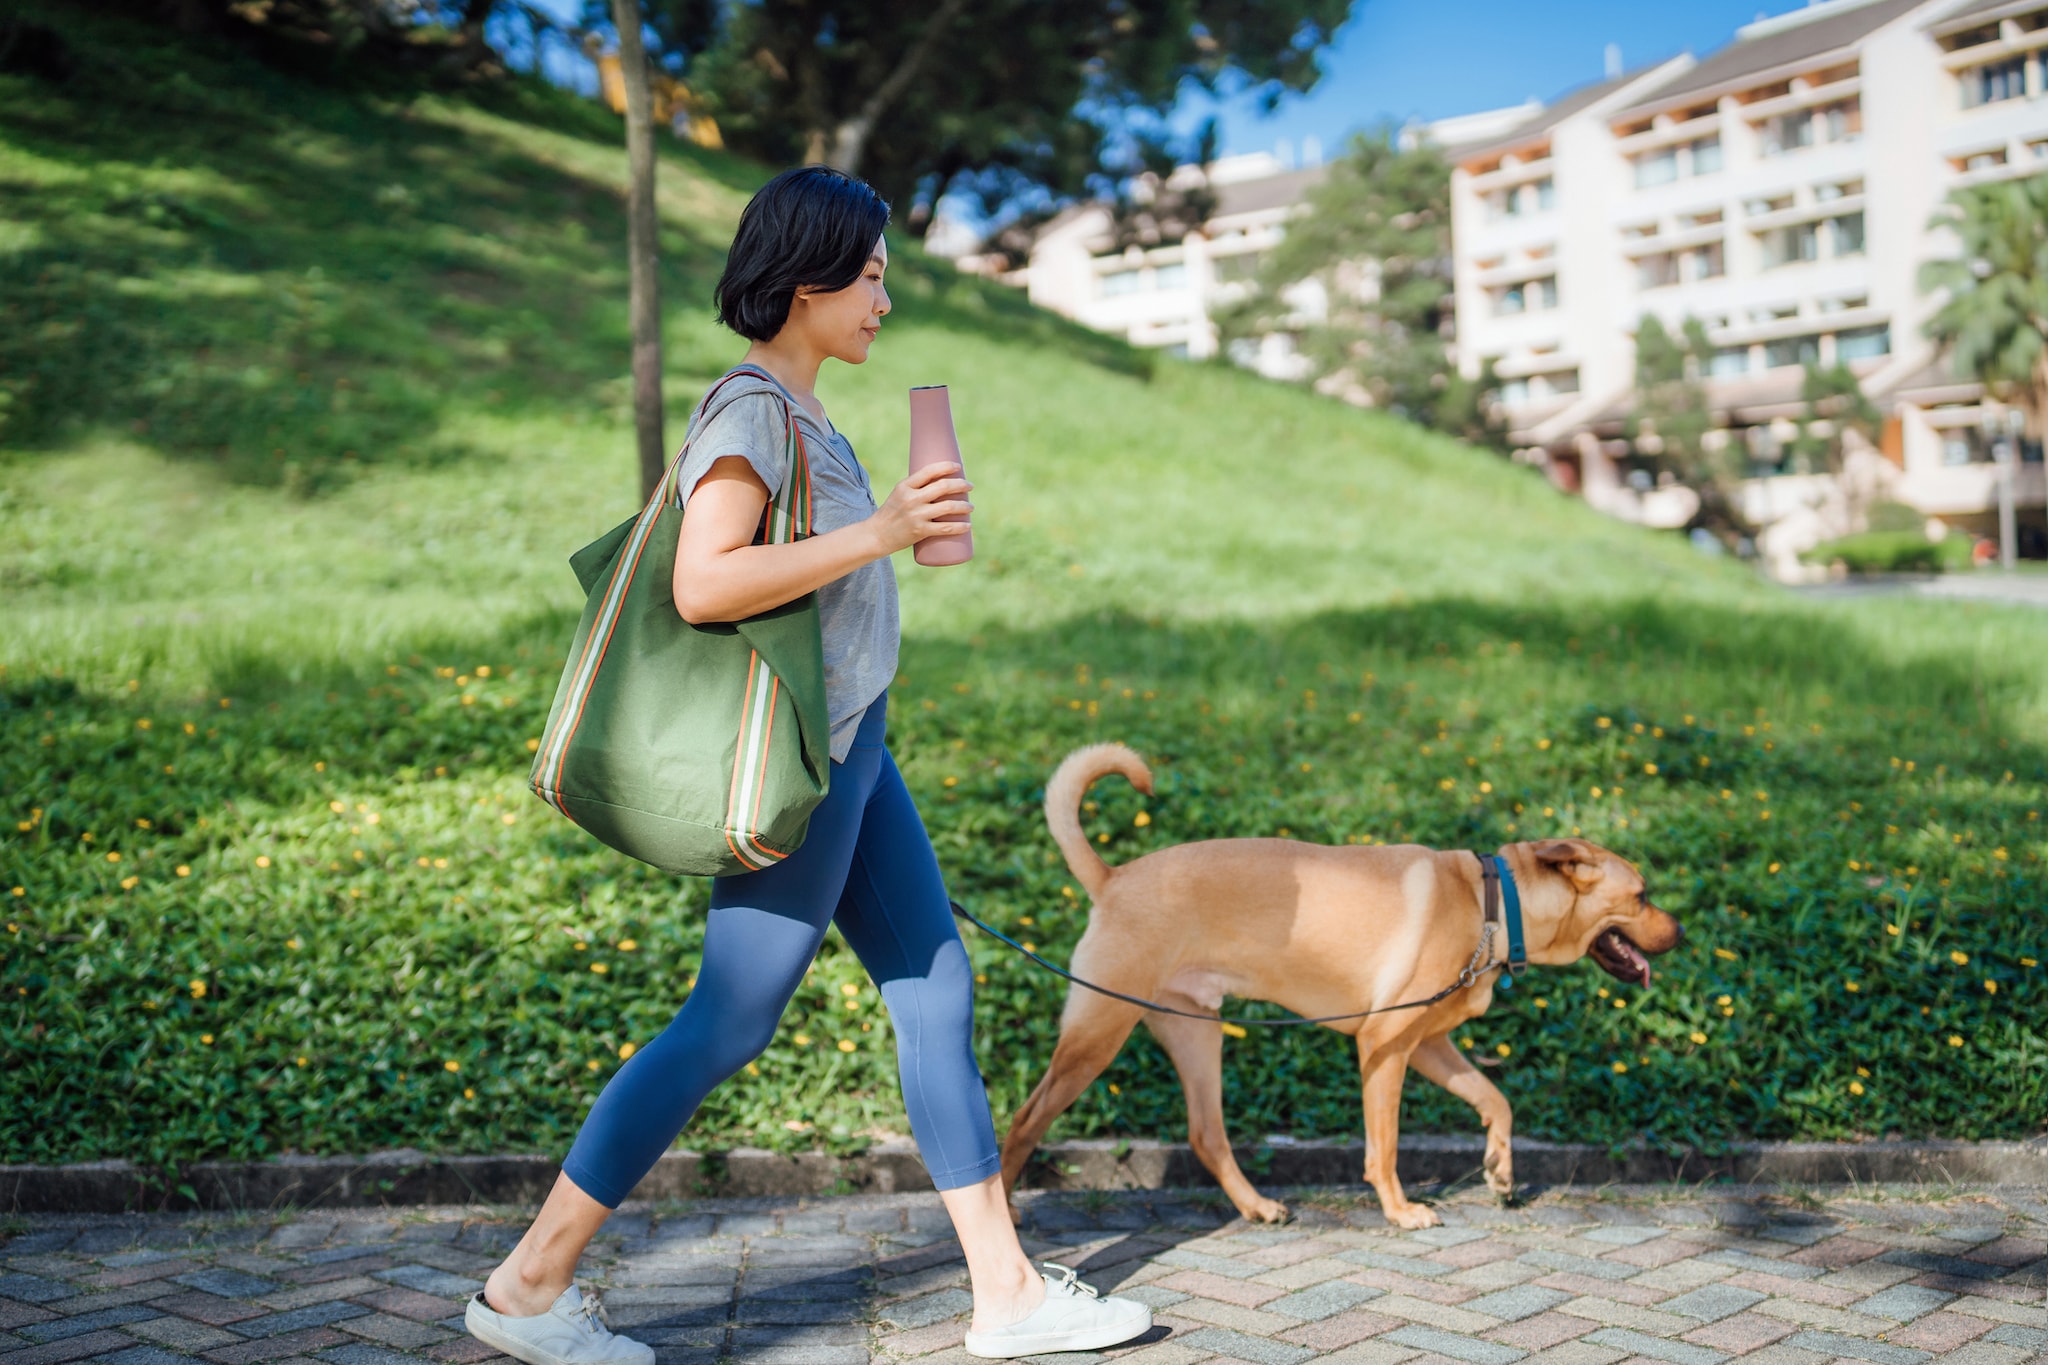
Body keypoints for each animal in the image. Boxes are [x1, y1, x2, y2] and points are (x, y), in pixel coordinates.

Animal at [999, 749, 1687, 1227]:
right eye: (1643, 896)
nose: (1681, 930)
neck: (1491, 905)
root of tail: (1112, 878)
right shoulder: (1383, 1046)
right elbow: (1384, 1146)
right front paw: (1399, 1211)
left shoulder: (1427, 1047)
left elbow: (1497, 1100)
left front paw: (1500, 1171)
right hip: (1095, 1039)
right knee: (1024, 1121)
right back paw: (1004, 1213)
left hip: (1197, 1035)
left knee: (1206, 1134)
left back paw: (1256, 1206)